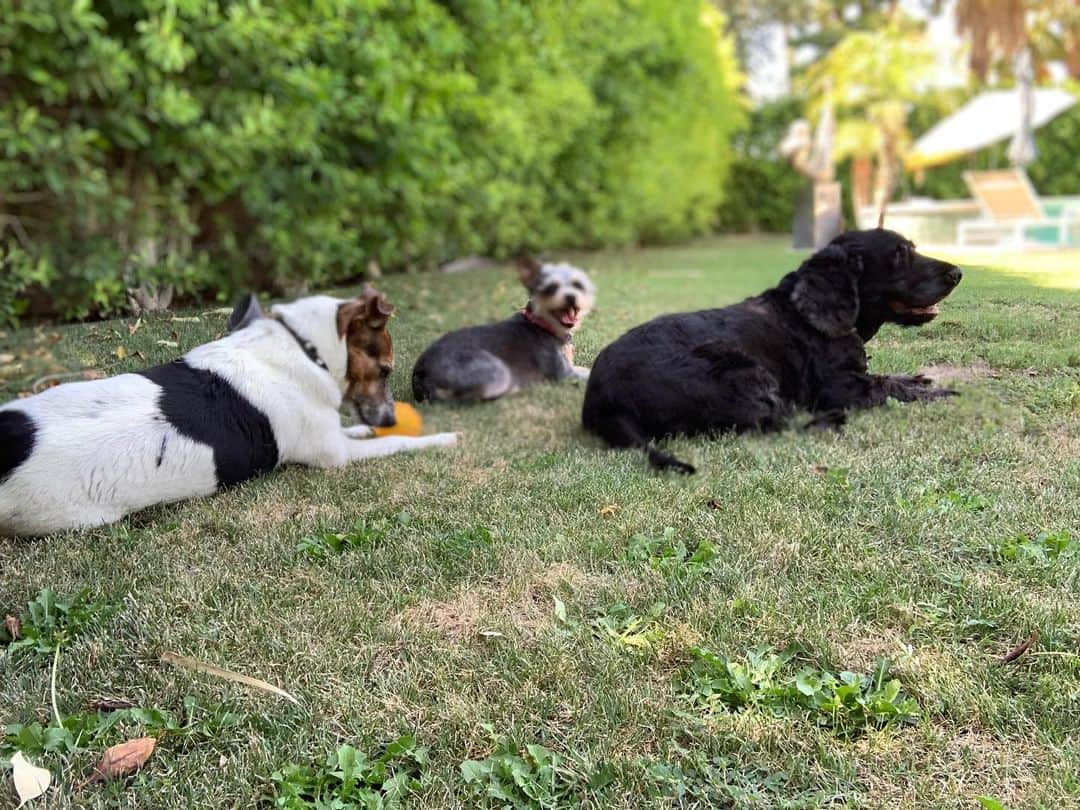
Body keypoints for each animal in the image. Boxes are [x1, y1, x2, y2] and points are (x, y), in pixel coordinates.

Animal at [0, 289, 455, 535]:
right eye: (386, 370)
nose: (391, 418)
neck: (302, 346)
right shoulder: (334, 457)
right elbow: (398, 444)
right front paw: (441, 437)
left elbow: (357, 432)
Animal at [412, 258, 600, 403]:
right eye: (551, 288)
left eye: (578, 285)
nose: (570, 297)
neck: (542, 324)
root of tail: (420, 372)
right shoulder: (563, 375)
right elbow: (588, 374)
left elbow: (587, 368)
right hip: (497, 373)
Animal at [583, 228, 963, 473]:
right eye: (899, 254)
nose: (958, 273)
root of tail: (603, 403)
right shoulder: (839, 388)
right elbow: (885, 387)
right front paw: (938, 393)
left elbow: (888, 378)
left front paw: (920, 381)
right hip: (743, 371)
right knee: (778, 422)